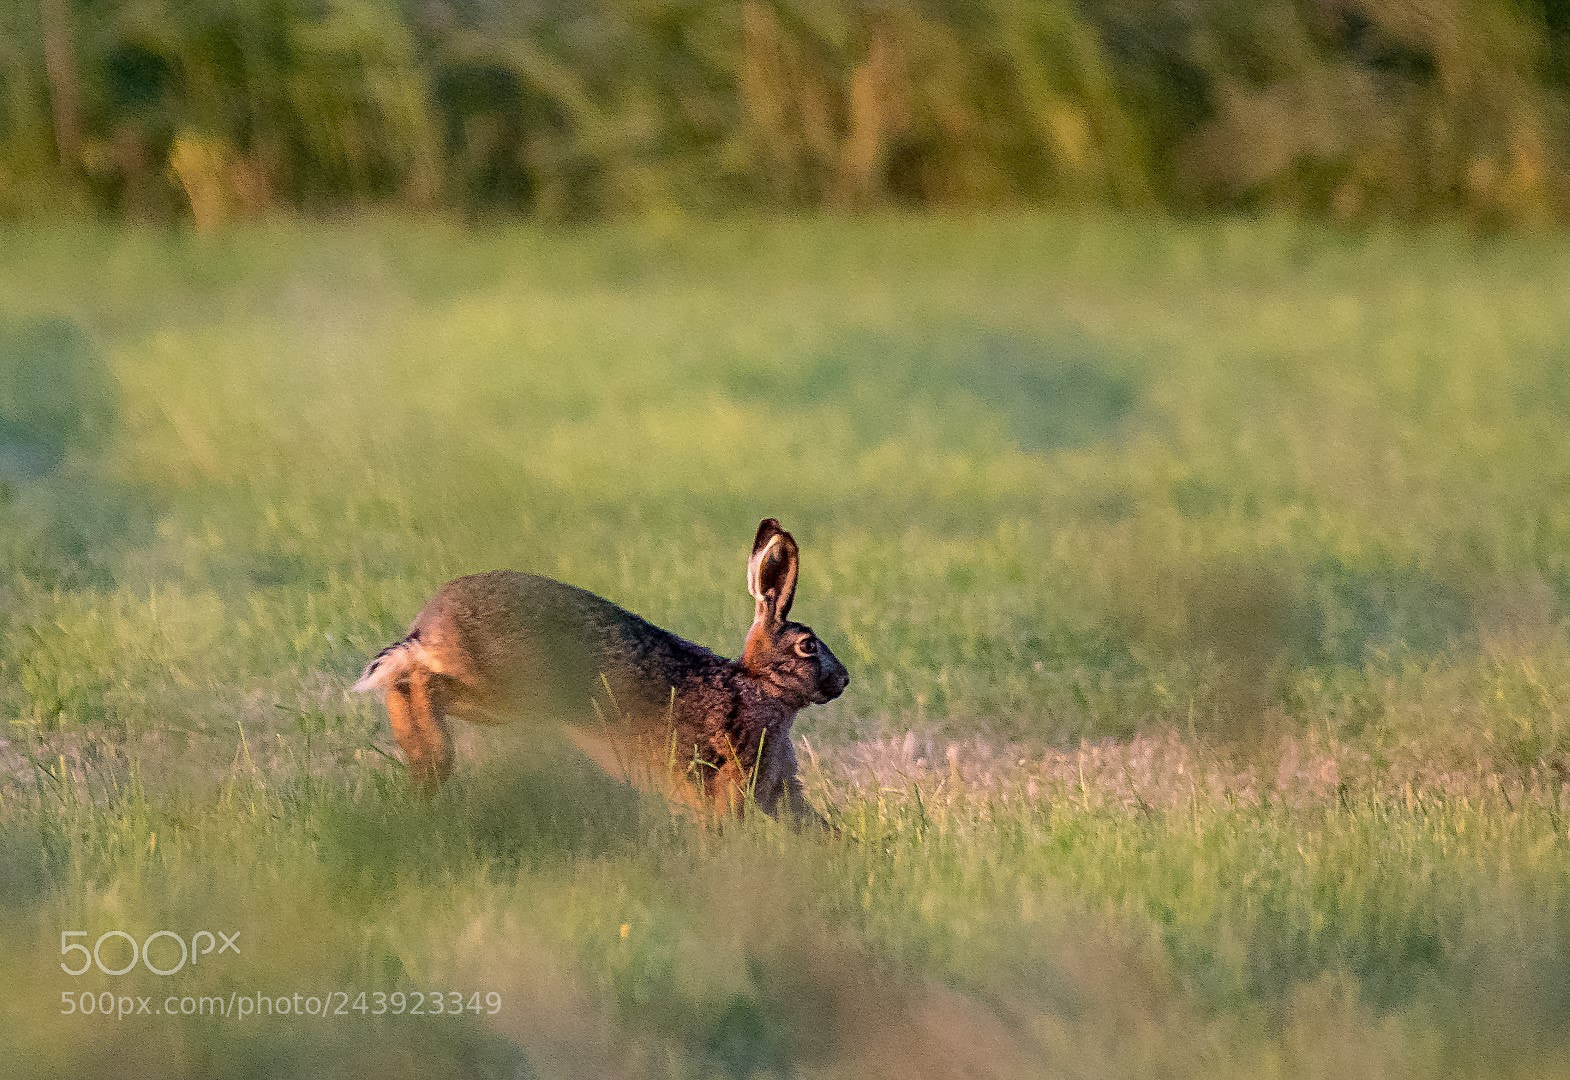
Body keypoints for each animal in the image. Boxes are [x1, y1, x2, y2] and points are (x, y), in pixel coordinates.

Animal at [351, 519, 848, 827]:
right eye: (808, 647)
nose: (843, 680)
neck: (760, 686)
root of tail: (430, 626)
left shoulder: (780, 789)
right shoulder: (731, 780)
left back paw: (423, 767)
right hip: (506, 692)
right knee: (418, 681)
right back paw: (433, 759)